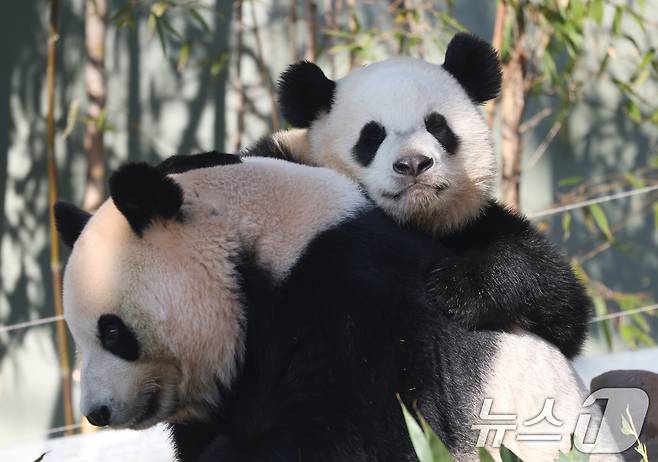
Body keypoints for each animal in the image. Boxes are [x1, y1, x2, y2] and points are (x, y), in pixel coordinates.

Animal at [241, 34, 588, 360]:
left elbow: (559, 294)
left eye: (436, 125)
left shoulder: (468, 224)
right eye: (372, 136)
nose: (413, 164)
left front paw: (457, 287)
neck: (416, 218)